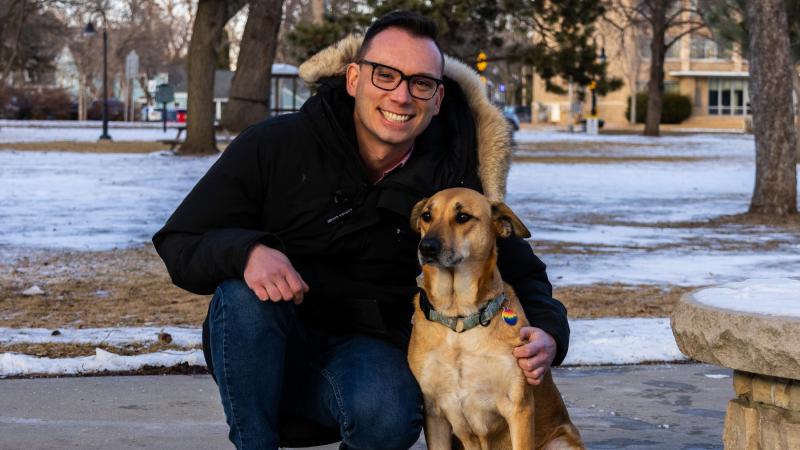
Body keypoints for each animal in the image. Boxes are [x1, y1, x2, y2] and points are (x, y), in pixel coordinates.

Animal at [410, 187, 584, 450]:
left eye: (463, 217)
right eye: (427, 216)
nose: (426, 247)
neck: (459, 319)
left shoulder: (519, 409)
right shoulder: (434, 414)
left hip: (560, 442)